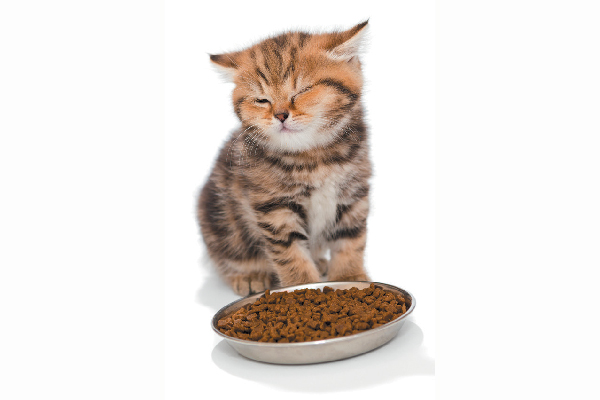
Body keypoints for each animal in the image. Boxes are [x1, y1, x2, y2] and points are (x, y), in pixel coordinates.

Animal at [199, 22, 372, 296]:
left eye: (303, 91)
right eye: (262, 100)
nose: (280, 115)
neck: (313, 157)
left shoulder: (353, 193)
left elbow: (350, 240)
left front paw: (350, 279)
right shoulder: (274, 207)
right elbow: (290, 253)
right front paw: (302, 287)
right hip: (218, 218)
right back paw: (250, 275)